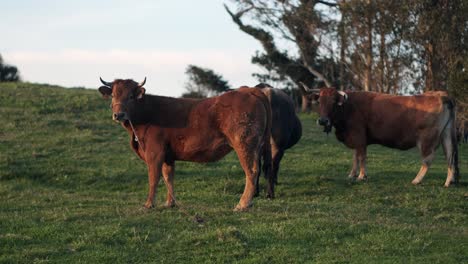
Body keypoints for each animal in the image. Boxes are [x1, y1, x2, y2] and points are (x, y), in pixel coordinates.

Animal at [98, 77, 274, 211]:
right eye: (113, 95)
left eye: (130, 97)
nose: (118, 114)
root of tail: (249, 90)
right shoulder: (168, 155)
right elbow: (168, 177)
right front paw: (170, 203)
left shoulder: (154, 152)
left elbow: (153, 177)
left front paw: (148, 204)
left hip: (244, 144)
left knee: (251, 171)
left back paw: (242, 204)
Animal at [302, 85, 458, 187]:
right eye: (319, 101)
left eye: (334, 102)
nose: (323, 120)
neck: (348, 106)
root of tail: (440, 95)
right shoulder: (356, 139)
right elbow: (355, 157)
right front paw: (352, 174)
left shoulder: (359, 137)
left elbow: (361, 157)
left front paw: (361, 176)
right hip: (446, 136)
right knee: (449, 155)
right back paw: (449, 181)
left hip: (426, 140)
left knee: (428, 159)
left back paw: (417, 180)